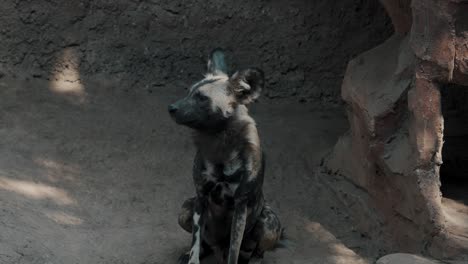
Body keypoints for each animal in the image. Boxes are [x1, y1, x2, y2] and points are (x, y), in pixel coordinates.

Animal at [170, 49, 284, 262]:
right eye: (189, 92)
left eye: (202, 98)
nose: (171, 107)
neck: (220, 146)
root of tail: (218, 247)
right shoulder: (200, 197)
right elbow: (195, 242)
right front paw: (192, 256)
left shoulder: (240, 206)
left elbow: (234, 251)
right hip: (186, 209)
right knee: (204, 243)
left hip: (269, 224)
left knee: (254, 252)